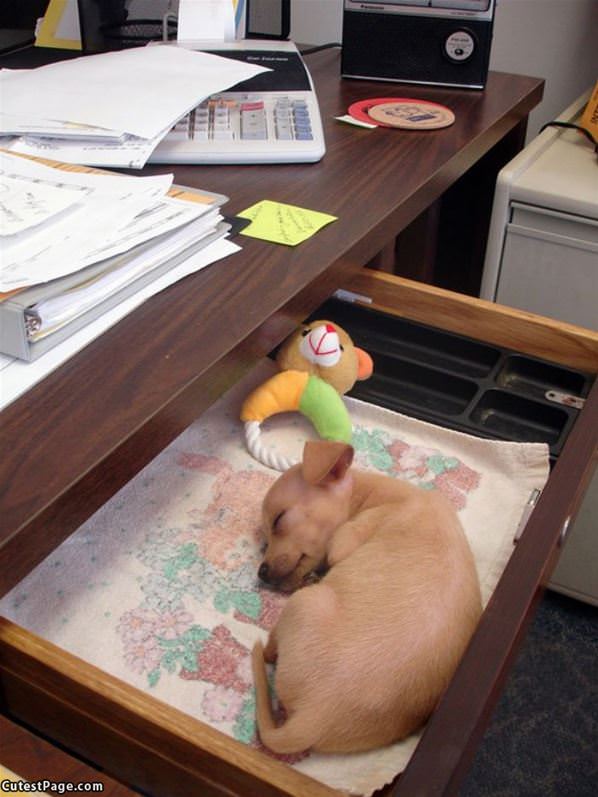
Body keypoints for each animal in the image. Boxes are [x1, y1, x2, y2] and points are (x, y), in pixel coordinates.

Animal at [252, 438, 482, 756]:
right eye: (264, 543)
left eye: (279, 520)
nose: (261, 572)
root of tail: (314, 717)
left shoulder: (343, 541)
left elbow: (333, 553)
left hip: (305, 602)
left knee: (269, 650)